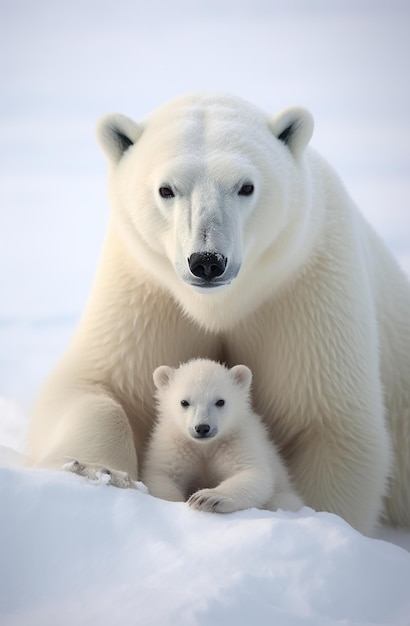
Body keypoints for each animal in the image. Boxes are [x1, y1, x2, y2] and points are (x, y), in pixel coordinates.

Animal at [143, 356, 302, 512]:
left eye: (220, 401)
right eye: (184, 402)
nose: (202, 428)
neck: (205, 446)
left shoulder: (235, 440)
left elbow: (252, 473)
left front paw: (206, 498)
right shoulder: (176, 444)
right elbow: (162, 475)